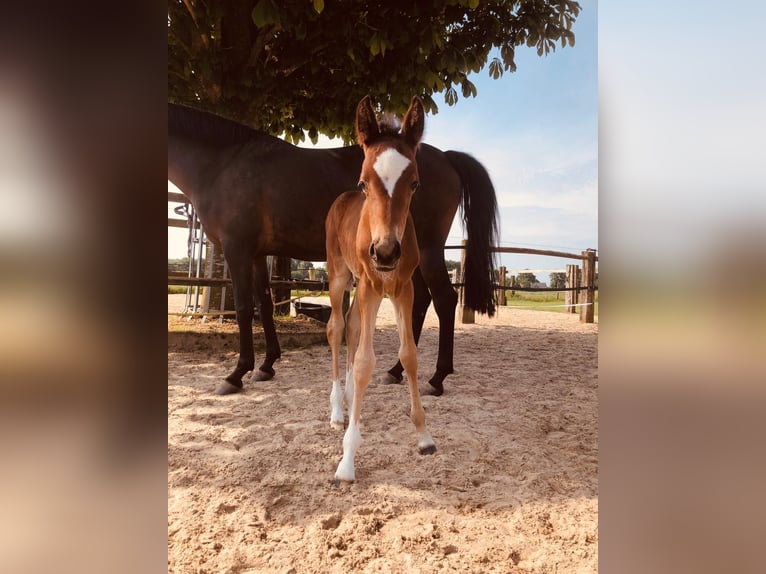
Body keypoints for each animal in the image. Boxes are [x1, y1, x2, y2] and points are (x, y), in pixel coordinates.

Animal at [169, 102, 500, 396]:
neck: (223, 163)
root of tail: (446, 157)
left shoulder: (237, 249)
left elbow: (242, 309)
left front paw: (237, 374)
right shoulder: (258, 254)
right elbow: (263, 305)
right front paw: (266, 365)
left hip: (428, 251)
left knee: (444, 300)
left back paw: (436, 378)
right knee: (418, 302)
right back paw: (395, 371)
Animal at [328, 97, 438, 484]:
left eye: (415, 184)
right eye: (365, 183)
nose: (387, 252)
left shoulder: (403, 288)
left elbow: (409, 356)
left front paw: (423, 436)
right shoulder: (372, 286)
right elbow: (364, 362)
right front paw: (347, 460)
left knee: (351, 324)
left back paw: (348, 399)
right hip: (340, 277)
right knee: (336, 327)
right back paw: (337, 410)